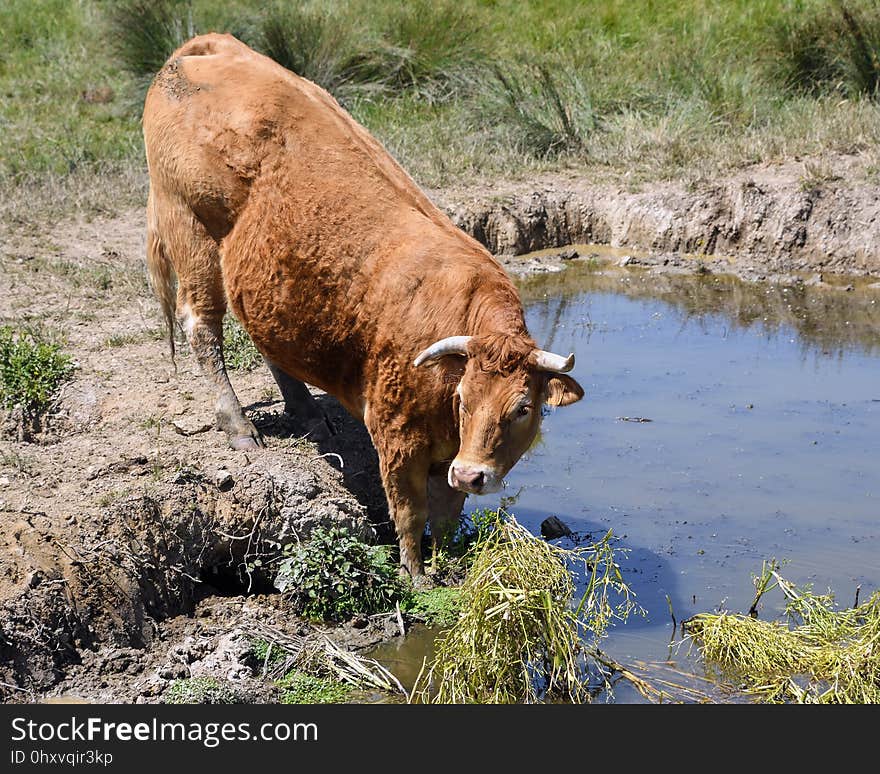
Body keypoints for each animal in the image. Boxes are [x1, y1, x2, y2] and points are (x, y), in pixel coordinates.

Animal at [144, 38, 584, 584]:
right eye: (463, 398)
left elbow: (446, 514)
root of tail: (207, 46)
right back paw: (240, 428)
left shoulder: (447, 458)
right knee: (203, 330)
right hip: (191, 232)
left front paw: (448, 565)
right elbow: (409, 511)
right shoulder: (397, 440)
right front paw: (416, 575)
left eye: (523, 407)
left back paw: (308, 411)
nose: (471, 473)